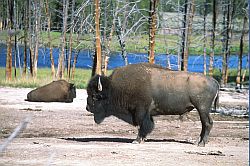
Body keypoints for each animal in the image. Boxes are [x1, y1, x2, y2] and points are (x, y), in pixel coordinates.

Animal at [86, 63, 219, 146]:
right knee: (204, 124)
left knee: (207, 123)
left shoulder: (140, 112)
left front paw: (137, 140)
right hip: (202, 110)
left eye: (95, 96)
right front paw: (142, 139)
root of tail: (214, 81)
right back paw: (198, 142)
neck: (114, 88)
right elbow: (146, 125)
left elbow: (142, 125)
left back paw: (201, 143)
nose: (87, 108)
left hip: (202, 108)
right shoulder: (145, 114)